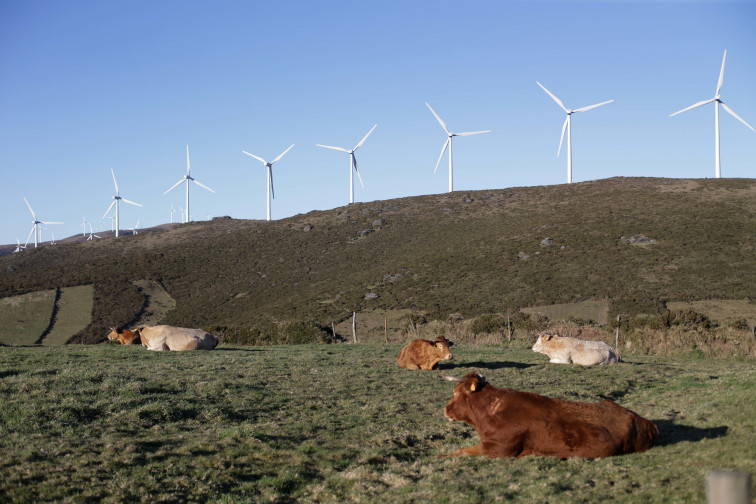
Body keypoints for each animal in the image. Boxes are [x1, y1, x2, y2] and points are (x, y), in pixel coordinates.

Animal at [442, 372, 656, 458]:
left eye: (455, 391)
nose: (445, 410)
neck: (491, 412)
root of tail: (644, 422)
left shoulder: (497, 448)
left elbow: (457, 452)